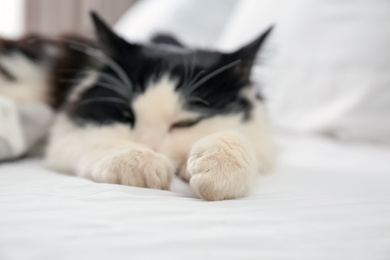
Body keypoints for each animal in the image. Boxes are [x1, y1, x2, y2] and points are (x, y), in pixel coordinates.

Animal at [0, 12, 274, 201]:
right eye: (125, 115)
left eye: (185, 123)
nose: (149, 146)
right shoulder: (67, 133)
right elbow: (100, 142)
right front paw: (144, 162)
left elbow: (237, 139)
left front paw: (220, 169)